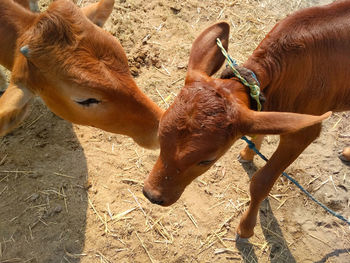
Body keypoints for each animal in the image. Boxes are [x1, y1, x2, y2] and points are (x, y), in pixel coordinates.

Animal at [143, 0, 350, 239]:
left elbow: (261, 182)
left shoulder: (303, 131)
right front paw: (248, 152)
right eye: (160, 135)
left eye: (206, 160)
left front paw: (246, 228)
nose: (151, 195)